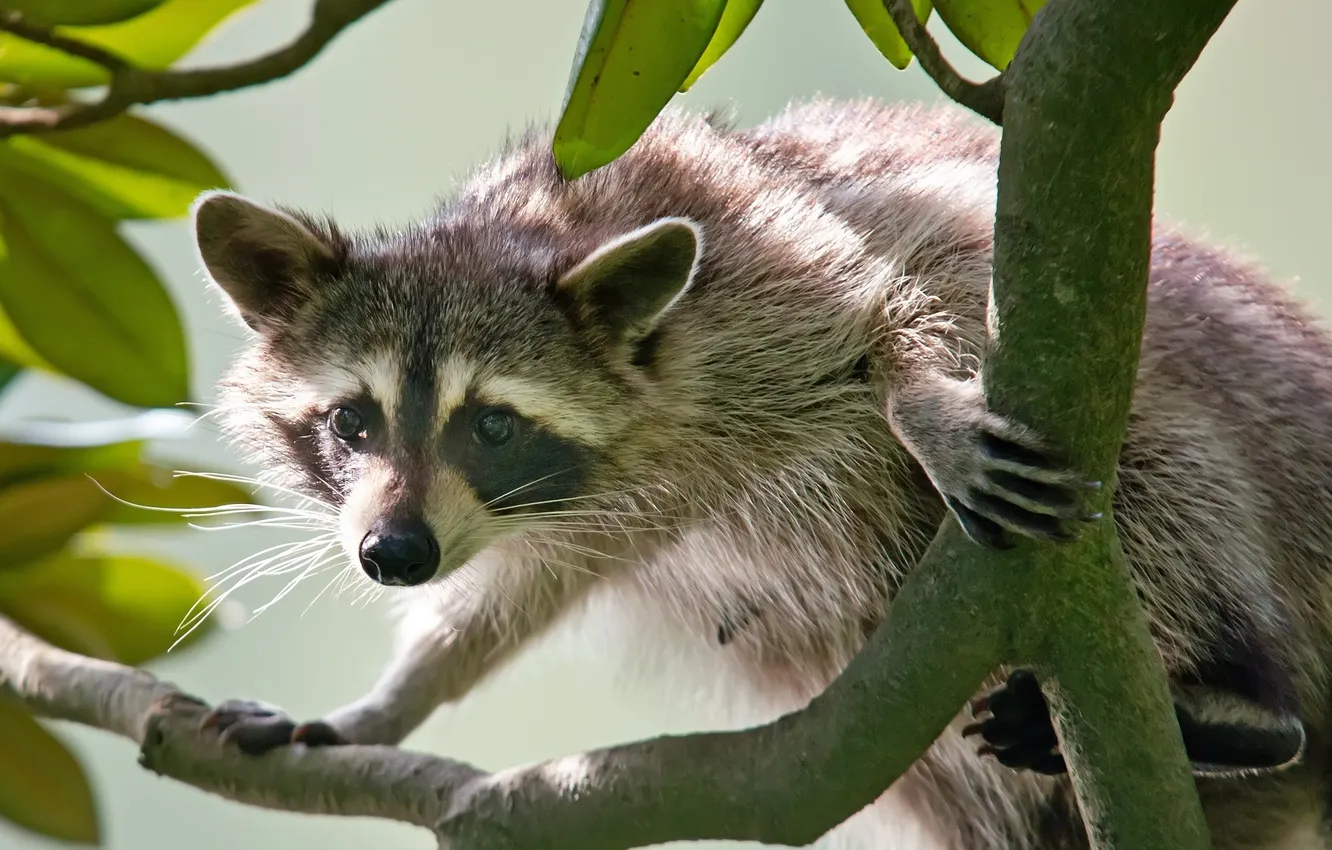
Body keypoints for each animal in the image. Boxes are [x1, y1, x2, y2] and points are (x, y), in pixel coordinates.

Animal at [193, 101, 1326, 850]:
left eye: (496, 427)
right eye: (352, 421)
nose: (392, 553)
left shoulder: (764, 258)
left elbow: (903, 289)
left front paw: (920, 402)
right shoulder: (592, 511)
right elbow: (515, 597)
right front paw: (387, 703)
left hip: (1232, 424)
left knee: (1168, 459)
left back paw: (1245, 698)